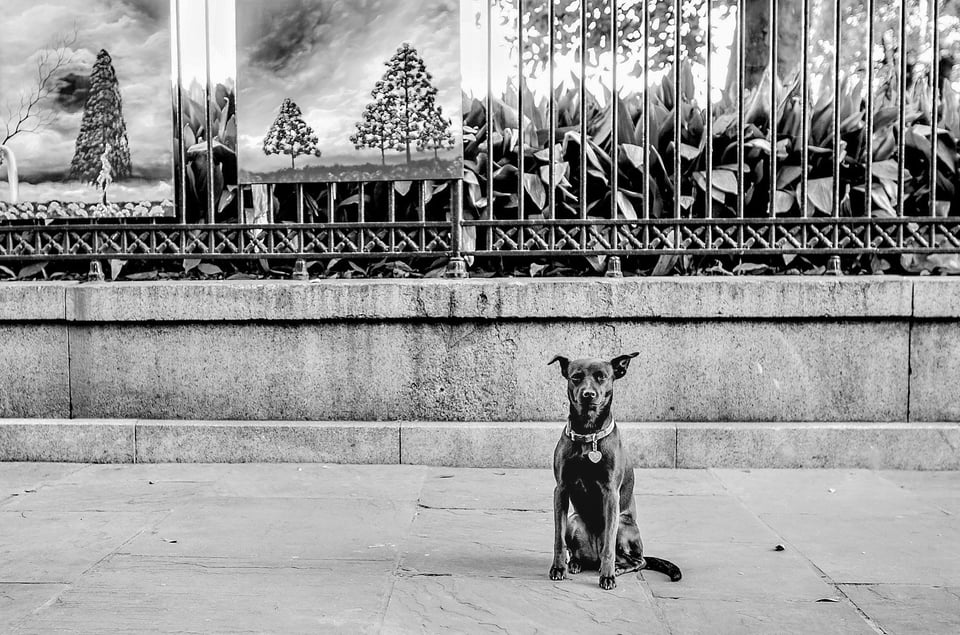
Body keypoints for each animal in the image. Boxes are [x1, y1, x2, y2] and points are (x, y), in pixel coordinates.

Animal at [548, 352, 684, 592]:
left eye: (602, 377)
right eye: (576, 377)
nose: (588, 394)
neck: (589, 434)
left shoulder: (611, 494)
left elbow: (609, 546)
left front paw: (608, 576)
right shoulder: (561, 490)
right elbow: (558, 539)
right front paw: (558, 568)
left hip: (622, 524)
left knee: (638, 560)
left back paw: (616, 569)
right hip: (574, 519)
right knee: (582, 553)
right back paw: (575, 563)